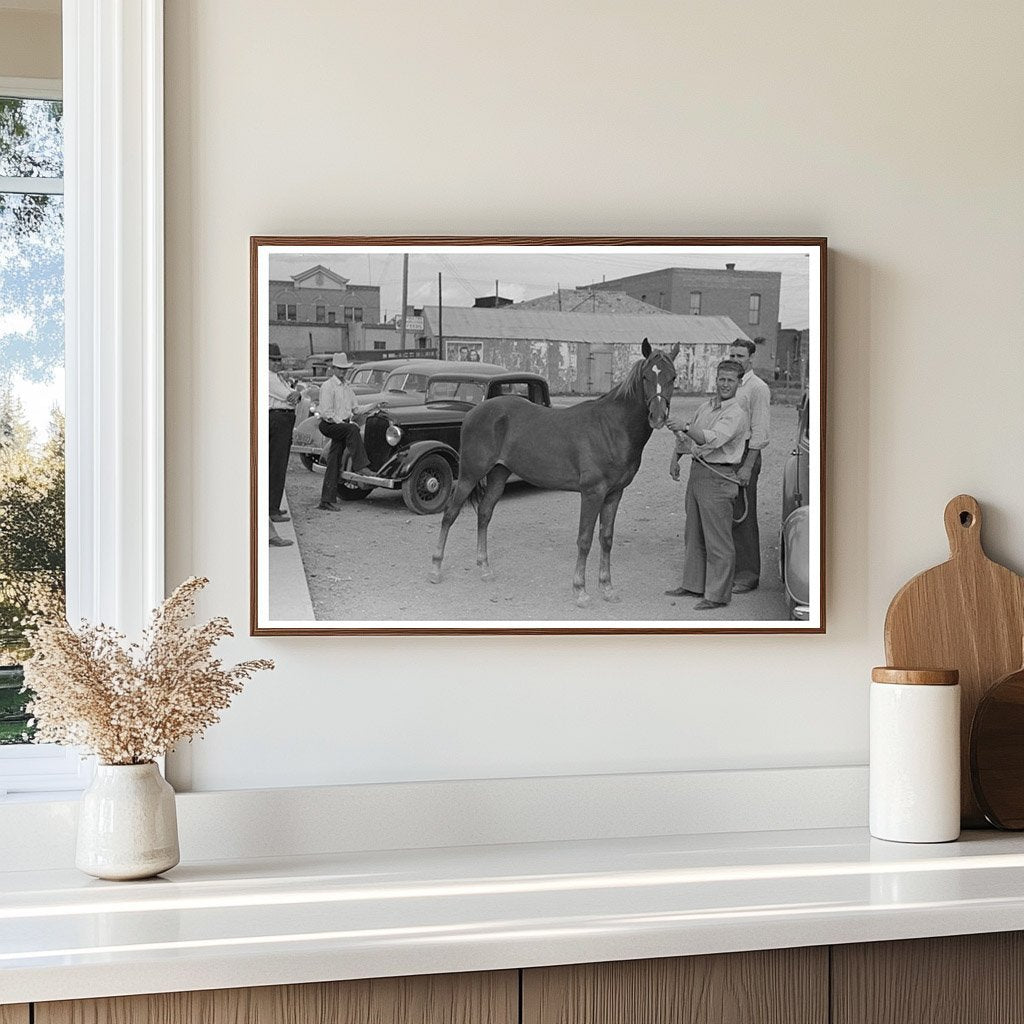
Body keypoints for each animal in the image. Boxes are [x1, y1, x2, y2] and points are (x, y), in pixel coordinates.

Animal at [430, 339, 679, 602]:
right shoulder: (592, 493)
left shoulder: (614, 494)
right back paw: (435, 568)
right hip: (469, 475)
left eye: (673, 377)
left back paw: (485, 568)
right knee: (449, 514)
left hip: (498, 474)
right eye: (645, 376)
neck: (611, 427)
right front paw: (580, 590)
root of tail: (472, 412)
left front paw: (607, 587)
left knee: (484, 514)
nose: (657, 417)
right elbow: (585, 539)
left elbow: (606, 538)